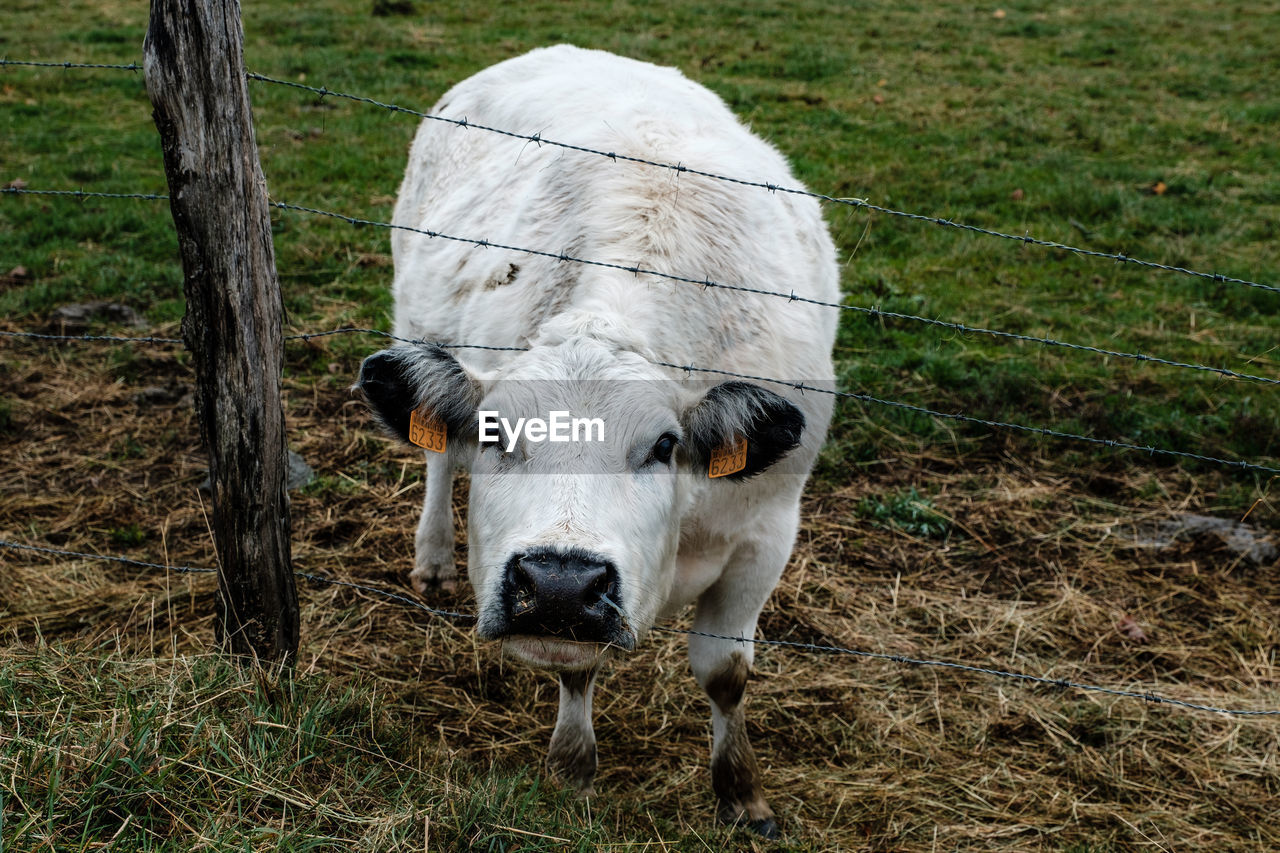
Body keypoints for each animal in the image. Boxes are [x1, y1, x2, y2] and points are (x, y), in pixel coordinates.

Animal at [360, 43, 839, 835]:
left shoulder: (768, 530)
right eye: (495, 431)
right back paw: (432, 557)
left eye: (665, 446)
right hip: (414, 325)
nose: (557, 580)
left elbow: (725, 674)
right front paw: (572, 766)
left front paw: (741, 791)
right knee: (434, 457)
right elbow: (577, 666)